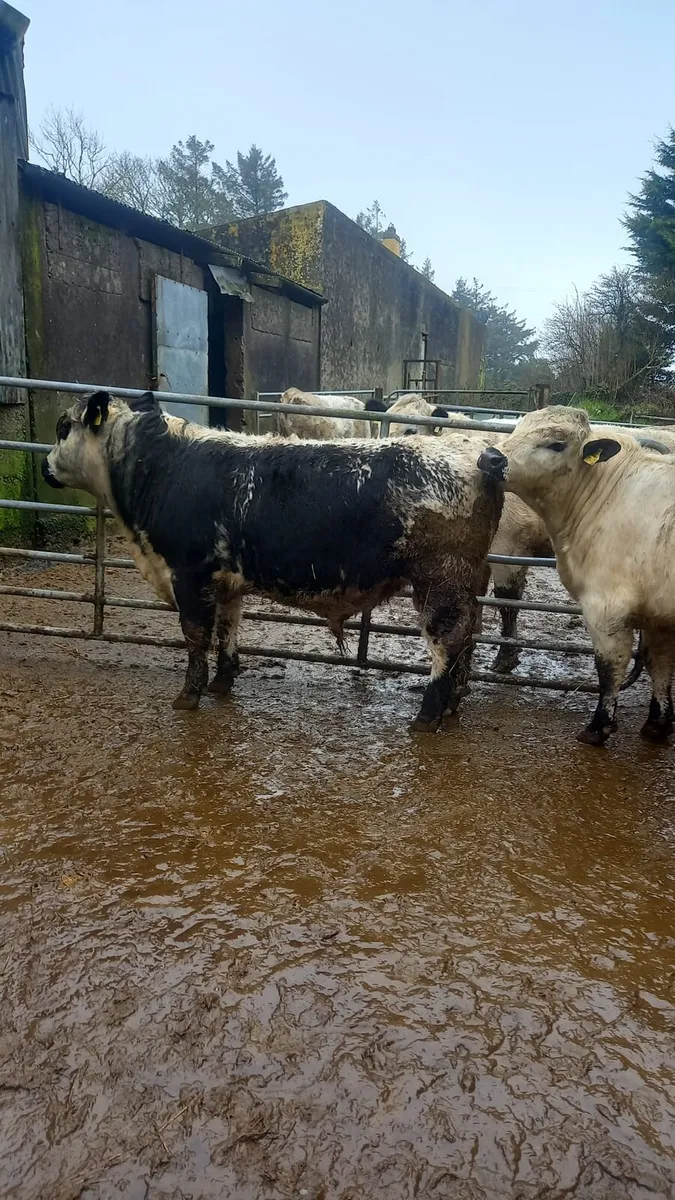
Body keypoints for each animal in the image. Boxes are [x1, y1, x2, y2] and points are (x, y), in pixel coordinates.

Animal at [42, 391, 503, 732]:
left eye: (63, 426)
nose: (44, 468)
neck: (161, 469)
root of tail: (481, 456)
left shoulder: (189, 573)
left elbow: (195, 635)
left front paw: (189, 693)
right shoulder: (226, 581)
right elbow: (227, 629)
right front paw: (223, 681)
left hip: (439, 581)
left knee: (447, 641)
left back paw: (428, 714)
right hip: (465, 582)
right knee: (468, 637)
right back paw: (451, 706)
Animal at [477, 405, 675, 746]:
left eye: (557, 444)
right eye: (517, 428)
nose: (490, 457)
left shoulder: (606, 608)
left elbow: (610, 667)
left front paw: (599, 726)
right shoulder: (659, 615)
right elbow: (659, 663)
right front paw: (657, 725)